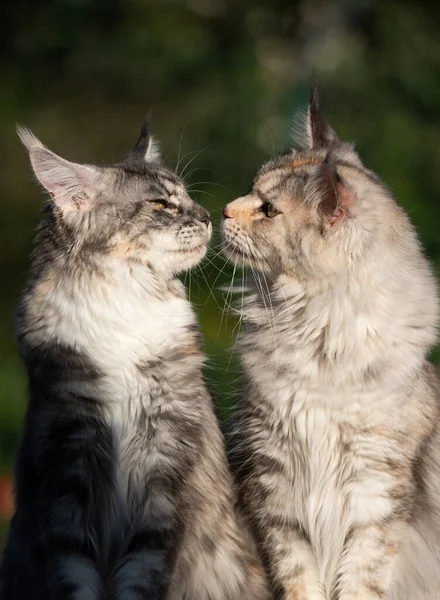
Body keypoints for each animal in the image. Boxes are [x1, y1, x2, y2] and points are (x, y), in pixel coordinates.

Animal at [0, 122, 270, 600]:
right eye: (161, 204)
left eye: (188, 197)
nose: (207, 216)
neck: (122, 305)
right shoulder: (68, 461)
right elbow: (75, 574)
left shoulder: (165, 458)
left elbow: (143, 572)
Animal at [222, 88, 440, 600]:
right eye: (251, 190)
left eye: (267, 209)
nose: (222, 210)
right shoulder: (275, 486)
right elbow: (299, 579)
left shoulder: (374, 493)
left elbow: (360, 581)